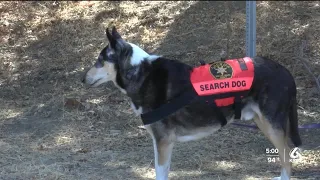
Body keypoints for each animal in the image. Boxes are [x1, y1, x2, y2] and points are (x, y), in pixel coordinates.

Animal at [81, 27, 302, 180]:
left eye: (100, 60)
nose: (82, 79)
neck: (140, 72)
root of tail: (285, 71)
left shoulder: (164, 141)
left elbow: (161, 173)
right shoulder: (158, 141)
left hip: (272, 126)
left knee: (287, 157)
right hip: (262, 123)